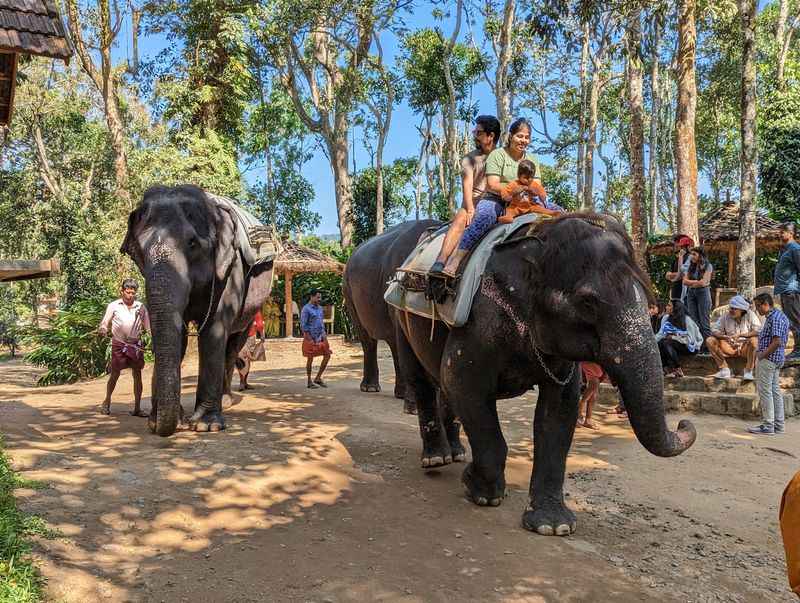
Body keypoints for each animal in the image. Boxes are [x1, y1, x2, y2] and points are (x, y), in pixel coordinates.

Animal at [121, 186, 276, 436]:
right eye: (140, 251)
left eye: (192, 243)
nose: (159, 427)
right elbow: (178, 334)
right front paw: (162, 421)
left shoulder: (230, 269)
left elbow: (214, 329)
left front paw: (206, 425)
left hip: (252, 312)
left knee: (233, 345)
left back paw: (227, 401)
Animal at [346, 215, 696, 536]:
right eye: (587, 302)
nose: (683, 422)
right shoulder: (479, 320)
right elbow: (463, 383)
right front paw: (479, 490)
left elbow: (560, 408)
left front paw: (552, 526)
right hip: (399, 313)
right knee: (418, 373)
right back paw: (436, 459)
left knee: (441, 384)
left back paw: (457, 453)